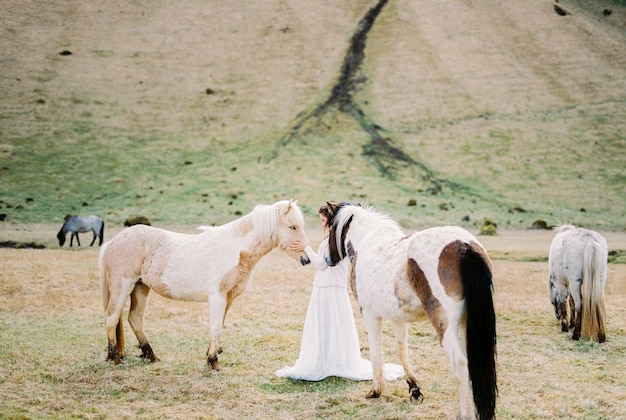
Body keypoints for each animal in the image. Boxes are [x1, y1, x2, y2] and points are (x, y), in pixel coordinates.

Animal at [99, 199, 310, 368]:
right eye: (292, 227)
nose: (306, 259)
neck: (234, 249)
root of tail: (113, 241)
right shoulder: (217, 298)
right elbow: (215, 328)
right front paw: (214, 362)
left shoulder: (228, 300)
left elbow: (219, 327)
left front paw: (210, 357)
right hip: (123, 286)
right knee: (111, 318)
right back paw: (115, 359)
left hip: (140, 288)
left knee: (135, 319)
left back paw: (151, 356)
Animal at [324, 203, 494, 416]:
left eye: (330, 229)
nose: (327, 258)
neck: (367, 242)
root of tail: (464, 246)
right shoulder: (399, 318)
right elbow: (401, 349)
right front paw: (414, 389)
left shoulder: (369, 315)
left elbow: (376, 351)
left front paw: (376, 390)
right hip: (466, 323)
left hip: (445, 325)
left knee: (460, 364)